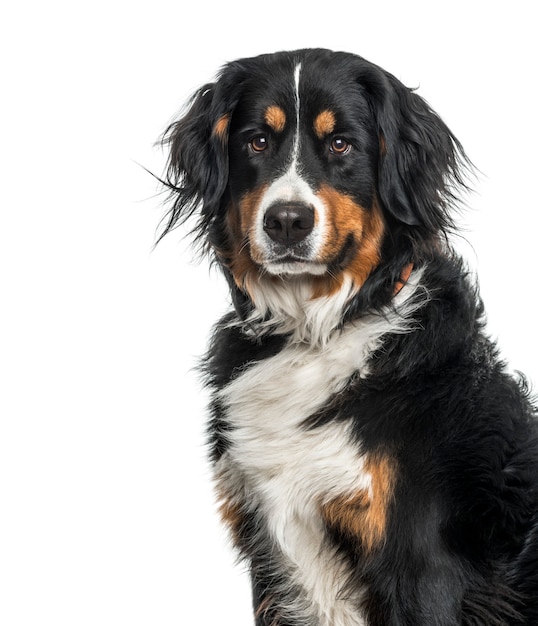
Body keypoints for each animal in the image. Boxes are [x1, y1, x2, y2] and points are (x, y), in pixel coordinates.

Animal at [157, 50, 536, 624]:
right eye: (257, 141)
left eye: (341, 144)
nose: (287, 222)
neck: (314, 332)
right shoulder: (268, 556)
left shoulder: (423, 563)